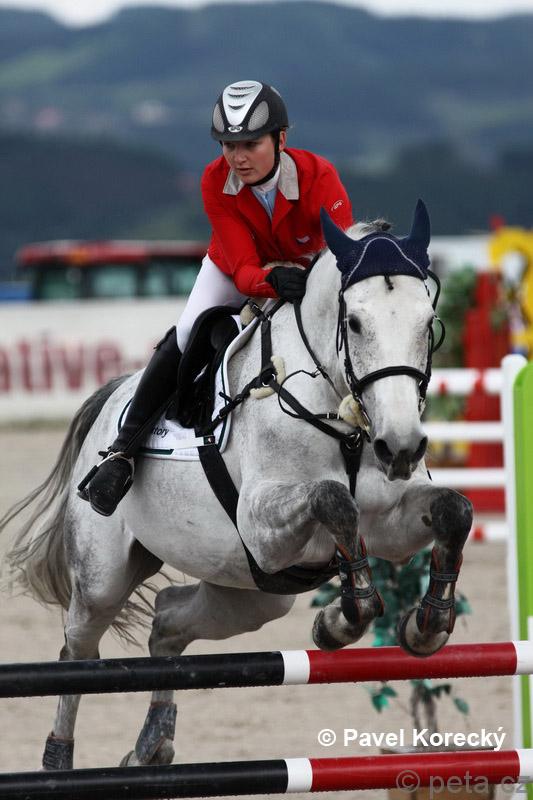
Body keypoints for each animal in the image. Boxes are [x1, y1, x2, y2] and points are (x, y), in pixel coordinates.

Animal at [0, 200, 473, 770]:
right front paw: (343, 617)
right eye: (355, 323)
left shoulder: (391, 522)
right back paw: (59, 761)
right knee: (78, 653)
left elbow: (454, 510)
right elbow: (334, 500)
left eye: (429, 323)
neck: (341, 414)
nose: (401, 446)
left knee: (168, 620)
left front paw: (426, 624)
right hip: (102, 579)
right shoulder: (264, 527)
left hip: (253, 592)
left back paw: (152, 743)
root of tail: (113, 397)